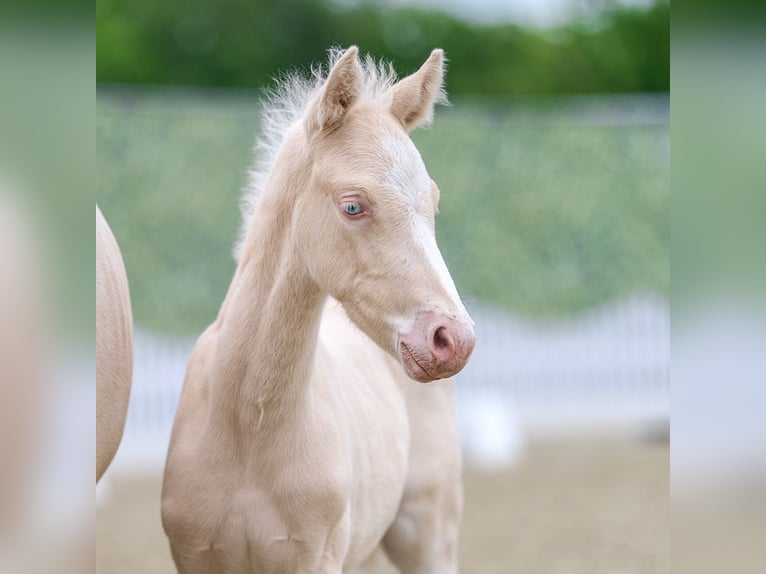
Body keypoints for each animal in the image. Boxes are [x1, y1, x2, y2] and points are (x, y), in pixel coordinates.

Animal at [161, 46, 475, 574]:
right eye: (352, 206)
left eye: (431, 202)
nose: (453, 340)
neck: (247, 427)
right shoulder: (196, 556)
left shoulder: (314, 558)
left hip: (429, 533)